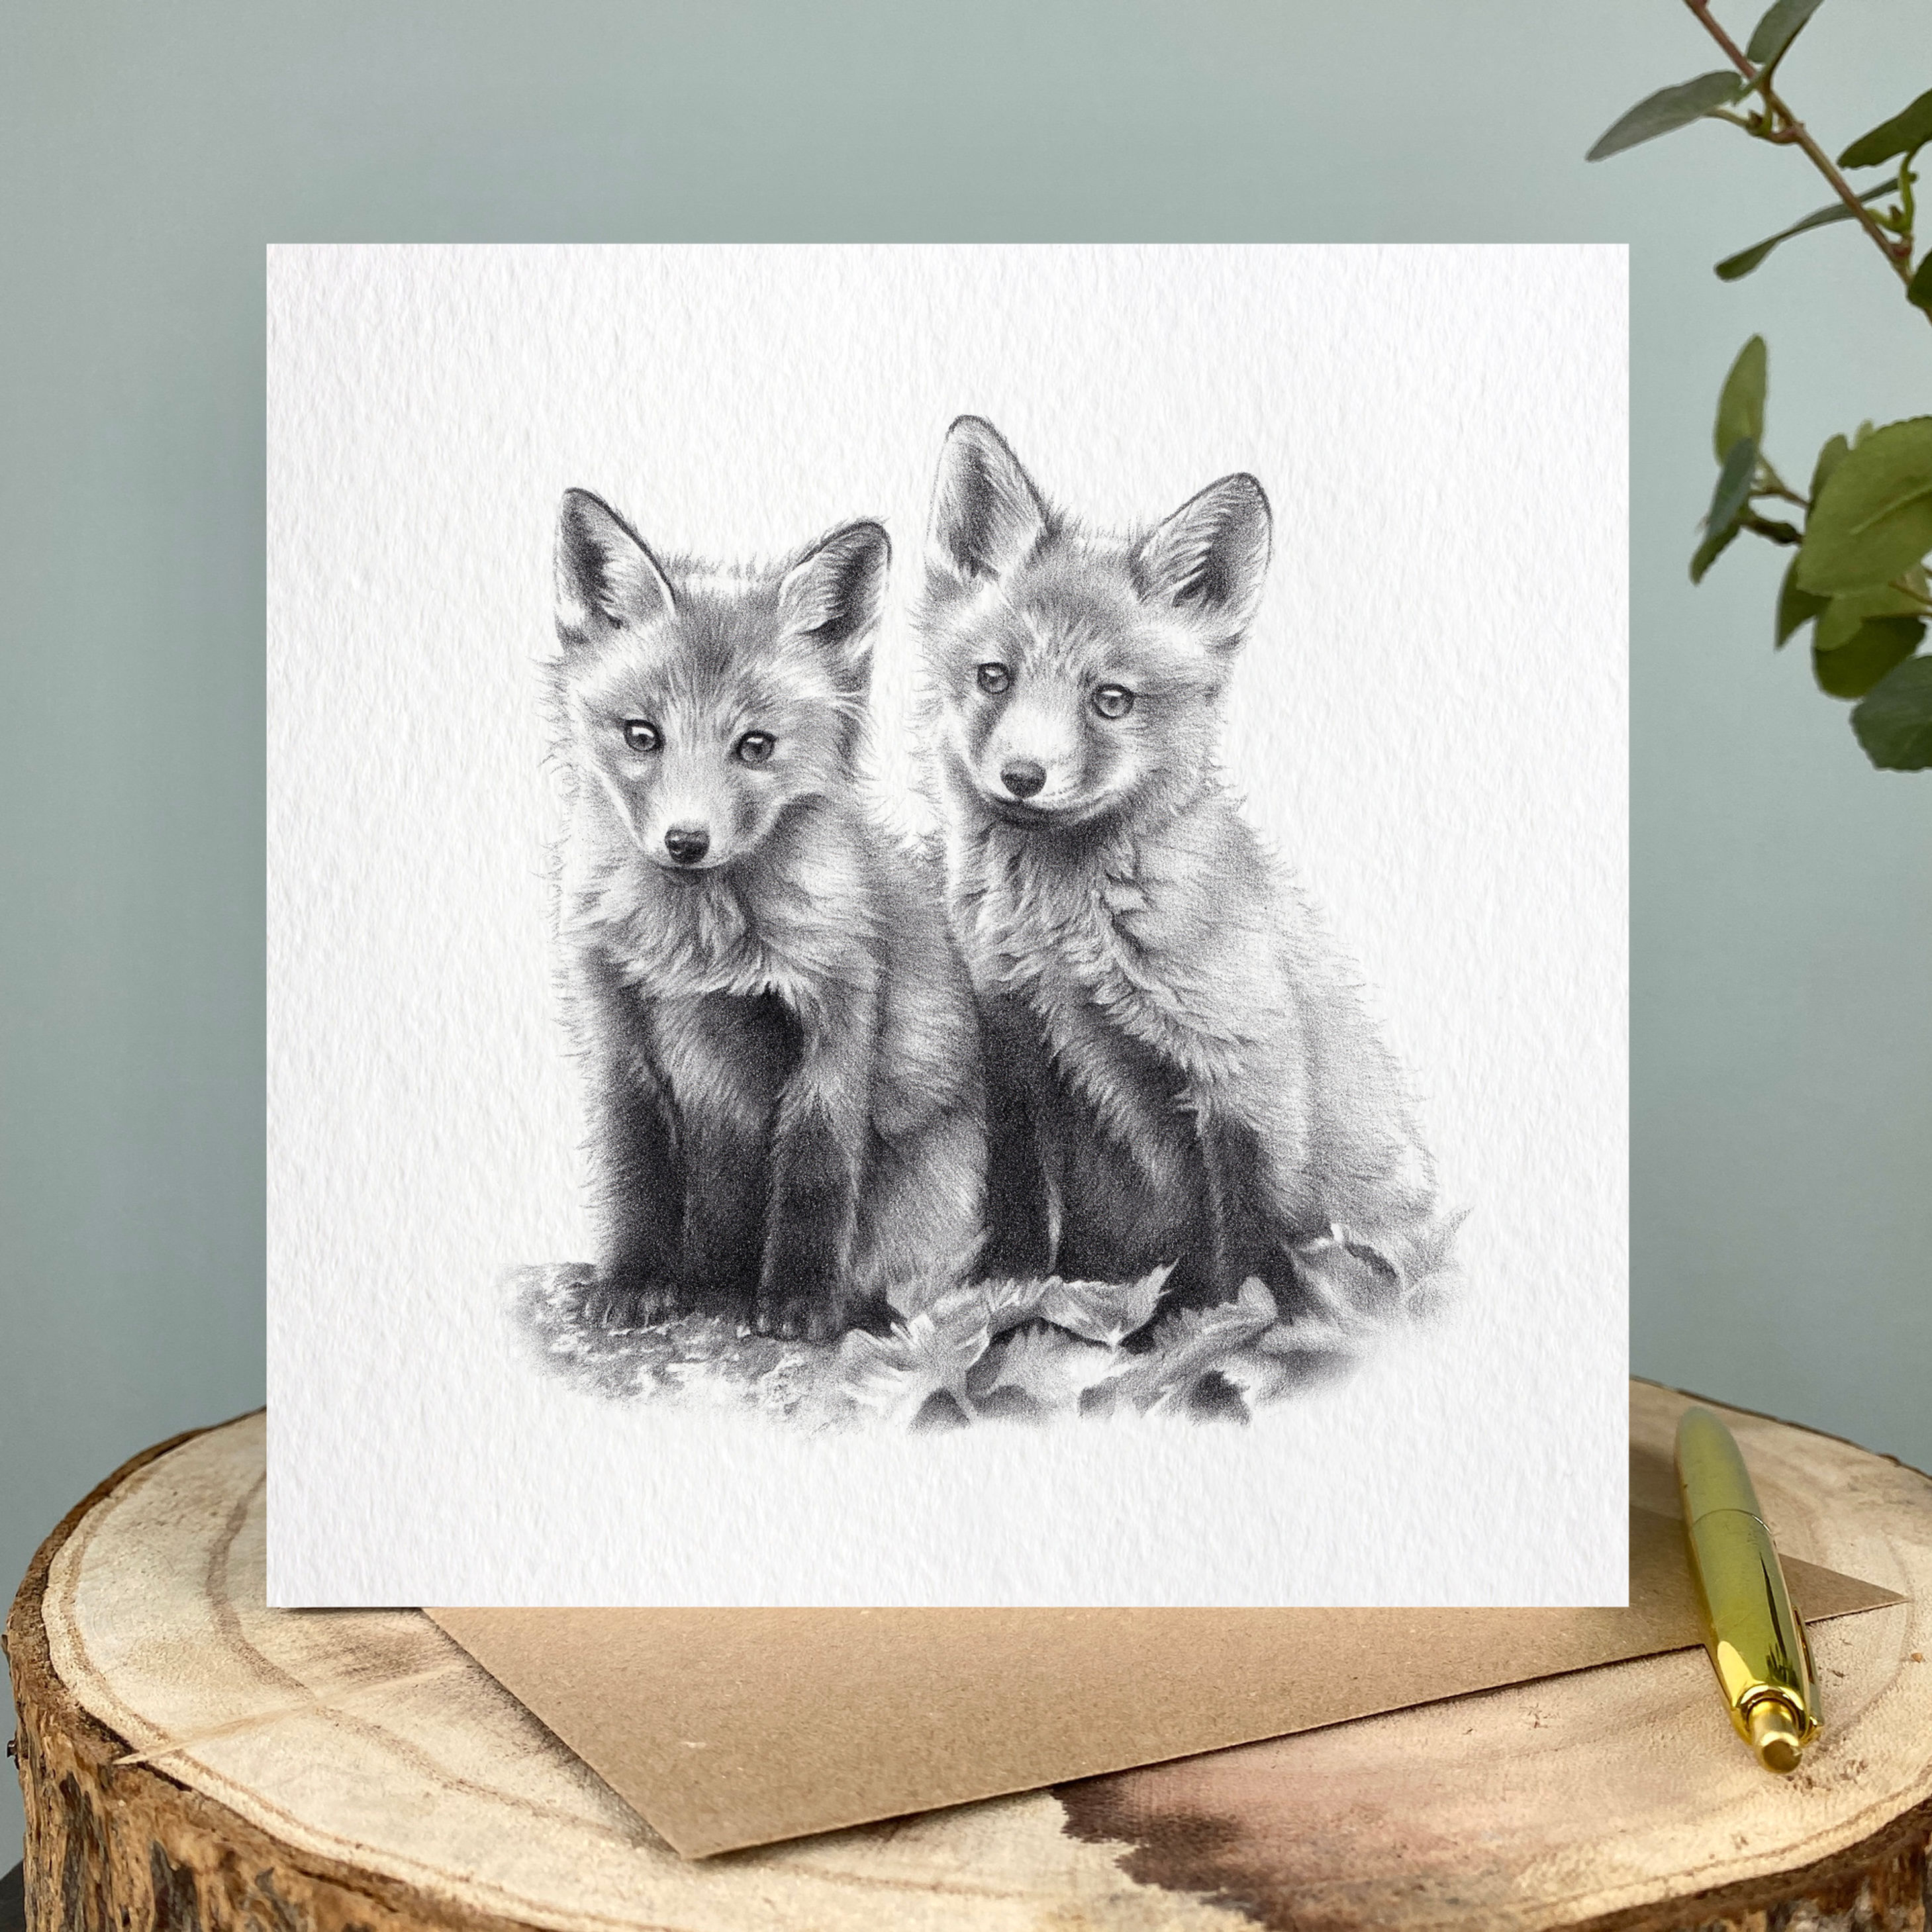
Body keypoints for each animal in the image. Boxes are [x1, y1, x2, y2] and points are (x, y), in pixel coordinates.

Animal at [548, 488, 985, 1343]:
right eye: (642, 735)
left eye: (754, 746)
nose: (686, 841)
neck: (699, 949)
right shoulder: (614, 1028)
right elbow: (635, 1166)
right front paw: (636, 1282)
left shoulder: (835, 1019)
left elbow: (815, 1177)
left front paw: (799, 1301)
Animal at [913, 417, 1443, 1322]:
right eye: (994, 677)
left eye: (1110, 699)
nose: (1021, 776)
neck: (1067, 945)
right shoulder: (1015, 1048)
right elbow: (1020, 1202)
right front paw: (1006, 1295)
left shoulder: (1244, 1073)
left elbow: (1251, 1238)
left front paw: (1247, 1331)